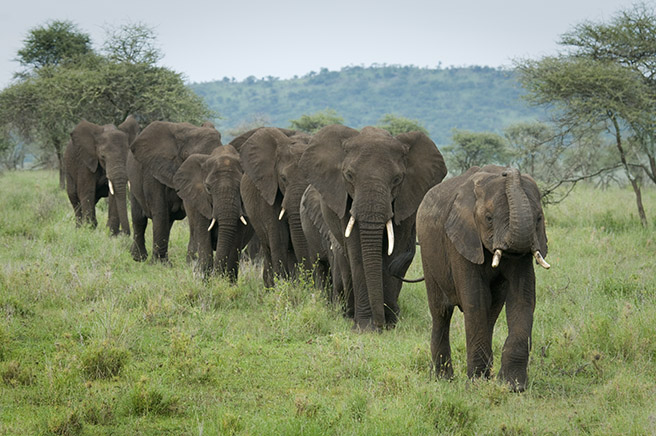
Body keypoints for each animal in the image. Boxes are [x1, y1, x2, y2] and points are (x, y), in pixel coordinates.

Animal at [127, 119, 222, 262]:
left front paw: (191, 262)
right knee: (140, 219)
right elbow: (160, 210)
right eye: (187, 156)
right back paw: (139, 258)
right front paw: (160, 264)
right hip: (133, 181)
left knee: (168, 222)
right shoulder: (153, 171)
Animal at [173, 143, 255, 280]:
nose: (216, 276)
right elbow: (204, 240)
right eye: (208, 188)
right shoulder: (200, 202)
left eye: (241, 187)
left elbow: (234, 244)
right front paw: (208, 282)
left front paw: (225, 282)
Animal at [302, 124, 446, 328]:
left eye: (397, 179)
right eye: (349, 175)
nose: (380, 323)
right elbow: (356, 251)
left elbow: (394, 249)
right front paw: (365, 327)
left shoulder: (406, 199)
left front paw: (389, 323)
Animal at [418, 164, 552, 392]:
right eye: (489, 218)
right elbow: (476, 300)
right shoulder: (461, 239)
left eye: (539, 219)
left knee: (492, 310)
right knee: (441, 312)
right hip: (428, 254)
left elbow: (523, 299)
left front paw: (513, 386)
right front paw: (476, 385)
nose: (509, 171)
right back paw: (443, 379)